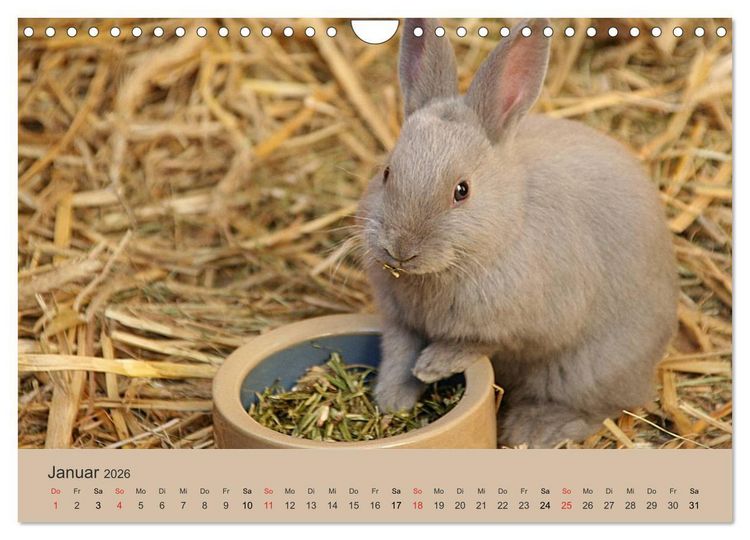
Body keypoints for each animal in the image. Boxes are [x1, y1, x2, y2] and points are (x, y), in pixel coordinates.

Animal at [357, 18, 679, 448]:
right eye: (387, 173)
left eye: (462, 191)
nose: (400, 249)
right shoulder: (400, 321)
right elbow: (398, 354)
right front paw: (392, 399)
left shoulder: (528, 325)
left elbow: (482, 342)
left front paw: (433, 366)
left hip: (584, 371)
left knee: (599, 406)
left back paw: (533, 430)